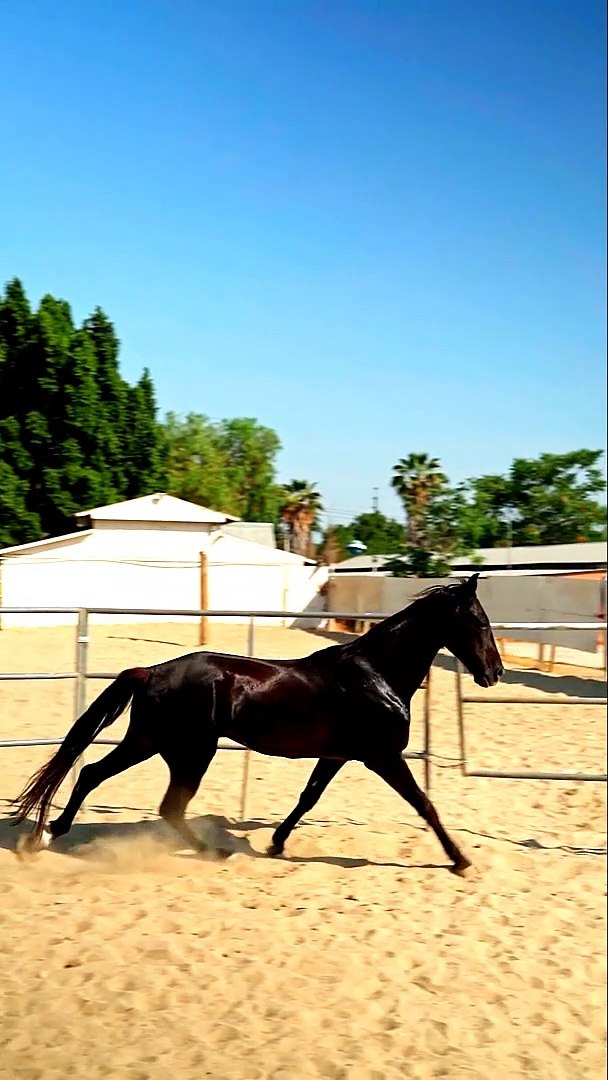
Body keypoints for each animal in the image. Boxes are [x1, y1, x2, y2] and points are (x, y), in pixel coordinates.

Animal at [13, 573, 503, 873]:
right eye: (480, 622)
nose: (494, 672)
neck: (376, 674)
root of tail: (151, 671)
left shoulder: (337, 755)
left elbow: (308, 798)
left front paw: (276, 844)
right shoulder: (382, 756)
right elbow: (424, 804)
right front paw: (460, 860)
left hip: (155, 743)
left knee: (99, 776)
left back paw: (47, 836)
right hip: (185, 750)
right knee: (159, 801)